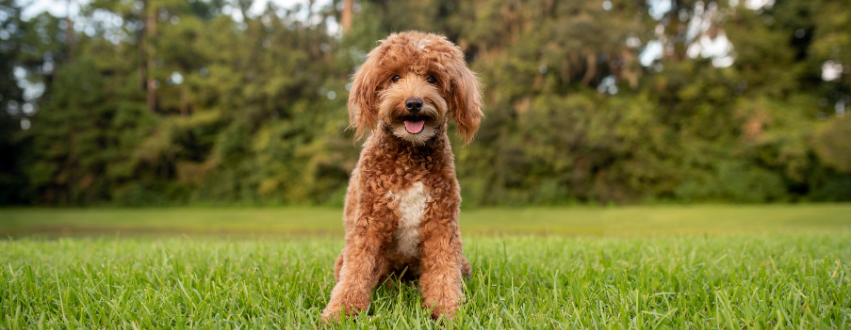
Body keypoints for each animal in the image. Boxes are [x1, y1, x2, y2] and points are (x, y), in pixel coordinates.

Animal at [322, 31, 482, 322]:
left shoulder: (441, 223)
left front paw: (447, 310)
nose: (414, 103)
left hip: (461, 260)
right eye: (395, 77)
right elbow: (356, 271)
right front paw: (342, 311)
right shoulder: (369, 222)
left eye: (432, 78)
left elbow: (443, 271)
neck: (410, 155)